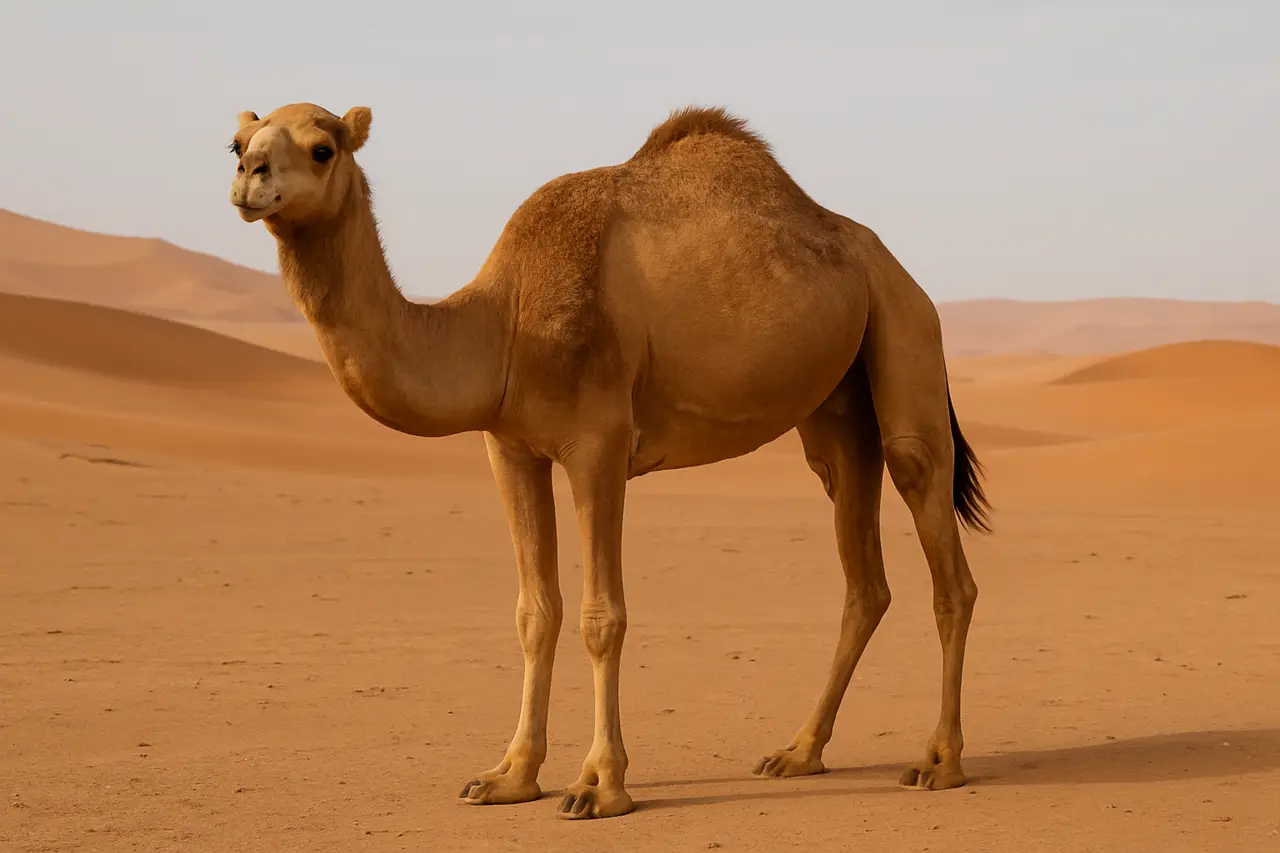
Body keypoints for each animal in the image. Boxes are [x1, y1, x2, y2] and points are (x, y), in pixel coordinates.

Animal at [226, 102, 991, 820]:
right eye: (237, 142)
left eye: (322, 148)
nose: (248, 178)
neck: (504, 322)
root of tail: (893, 266)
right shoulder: (510, 449)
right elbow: (535, 611)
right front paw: (509, 776)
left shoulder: (597, 443)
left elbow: (601, 616)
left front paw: (599, 785)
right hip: (837, 412)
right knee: (863, 572)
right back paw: (798, 752)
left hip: (906, 331)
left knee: (938, 538)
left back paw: (939, 761)